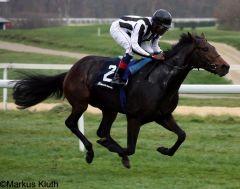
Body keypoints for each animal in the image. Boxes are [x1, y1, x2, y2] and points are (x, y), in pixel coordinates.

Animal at [12, 32, 229, 168]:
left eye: (213, 47)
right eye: (204, 49)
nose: (225, 67)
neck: (161, 80)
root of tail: (71, 70)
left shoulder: (163, 116)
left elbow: (182, 135)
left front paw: (164, 149)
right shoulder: (134, 118)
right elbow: (131, 148)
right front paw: (115, 150)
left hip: (110, 109)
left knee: (102, 130)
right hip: (81, 103)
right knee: (72, 123)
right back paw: (90, 152)